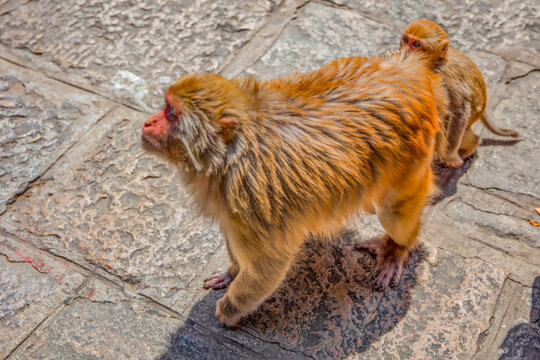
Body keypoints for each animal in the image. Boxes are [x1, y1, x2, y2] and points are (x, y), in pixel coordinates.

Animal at [143, 52, 442, 326]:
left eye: (170, 111)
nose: (147, 122)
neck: (230, 155)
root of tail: (408, 71)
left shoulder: (250, 197)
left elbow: (269, 264)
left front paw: (228, 310)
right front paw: (233, 271)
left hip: (411, 160)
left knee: (395, 214)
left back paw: (395, 248)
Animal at [400, 18, 520, 167]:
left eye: (416, 44)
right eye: (405, 40)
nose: (405, 50)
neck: (435, 64)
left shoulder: (445, 79)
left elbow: (460, 112)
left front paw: (449, 156)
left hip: (472, 116)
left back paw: (472, 145)